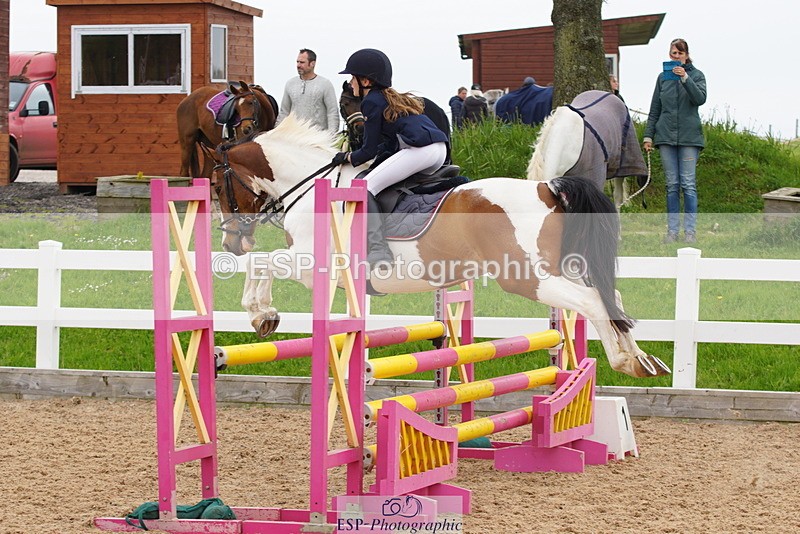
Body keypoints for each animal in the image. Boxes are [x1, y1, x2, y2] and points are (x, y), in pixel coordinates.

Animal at [209, 114, 670, 379]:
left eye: (216, 185)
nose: (230, 241)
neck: (310, 186)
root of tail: (547, 187)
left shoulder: (310, 265)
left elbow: (262, 262)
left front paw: (261, 315)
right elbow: (263, 263)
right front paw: (263, 314)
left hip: (528, 278)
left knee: (592, 300)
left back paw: (624, 362)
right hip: (559, 267)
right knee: (612, 298)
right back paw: (641, 360)